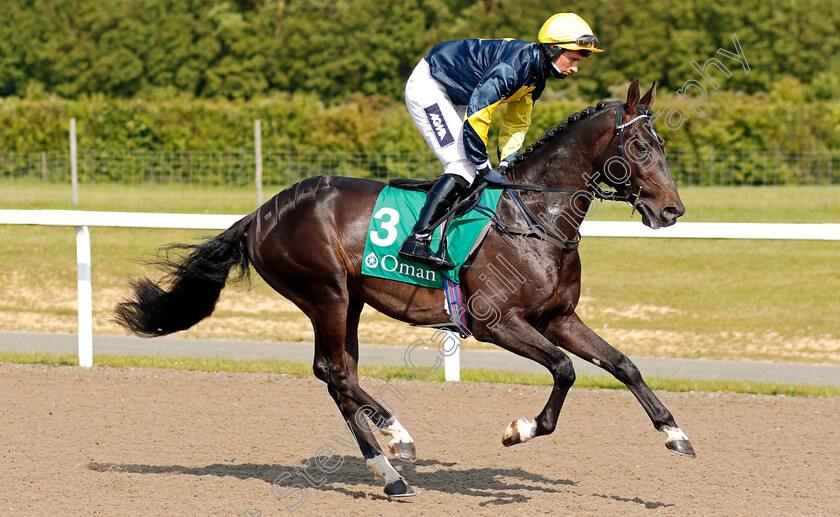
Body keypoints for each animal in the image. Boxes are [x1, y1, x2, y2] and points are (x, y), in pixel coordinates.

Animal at [115, 79, 692, 496]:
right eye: (639, 146)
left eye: (663, 144)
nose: (672, 210)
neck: (534, 218)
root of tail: (261, 213)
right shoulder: (495, 322)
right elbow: (566, 369)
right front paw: (520, 429)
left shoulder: (558, 317)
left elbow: (622, 364)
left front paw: (675, 434)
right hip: (325, 293)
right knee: (333, 372)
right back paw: (398, 439)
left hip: (347, 300)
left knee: (337, 375)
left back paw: (388, 474)